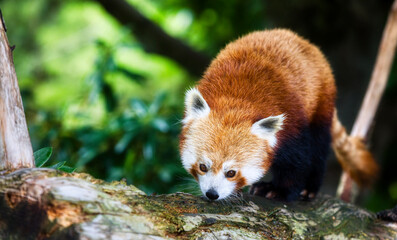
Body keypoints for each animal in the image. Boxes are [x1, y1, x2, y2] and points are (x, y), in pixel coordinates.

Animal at [179, 29, 378, 202]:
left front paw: (280, 191)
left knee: (319, 146)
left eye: (231, 173)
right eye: (203, 166)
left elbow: (297, 161)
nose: (212, 194)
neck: (236, 102)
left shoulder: (292, 122)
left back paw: (309, 189)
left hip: (321, 102)